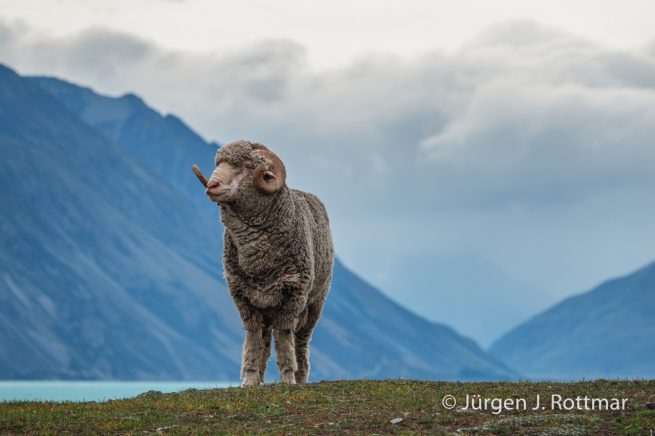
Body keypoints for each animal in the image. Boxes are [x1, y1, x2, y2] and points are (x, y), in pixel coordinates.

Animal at [192, 140, 334, 386]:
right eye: (219, 163)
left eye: (247, 166)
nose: (212, 185)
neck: (259, 263)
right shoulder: (243, 297)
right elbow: (253, 339)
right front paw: (249, 379)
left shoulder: (293, 296)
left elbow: (285, 338)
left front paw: (288, 377)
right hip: (266, 305)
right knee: (265, 341)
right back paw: (259, 377)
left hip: (315, 303)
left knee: (301, 340)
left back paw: (301, 377)